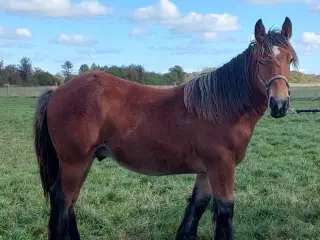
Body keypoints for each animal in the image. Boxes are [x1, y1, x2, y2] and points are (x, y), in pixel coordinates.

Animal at [33, 17, 298, 240]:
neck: (221, 109)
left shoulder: (206, 170)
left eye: (289, 59)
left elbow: (197, 206)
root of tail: (57, 90)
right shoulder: (222, 167)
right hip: (74, 163)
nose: (280, 104)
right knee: (62, 201)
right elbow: (225, 210)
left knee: (70, 203)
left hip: (82, 163)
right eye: (261, 60)